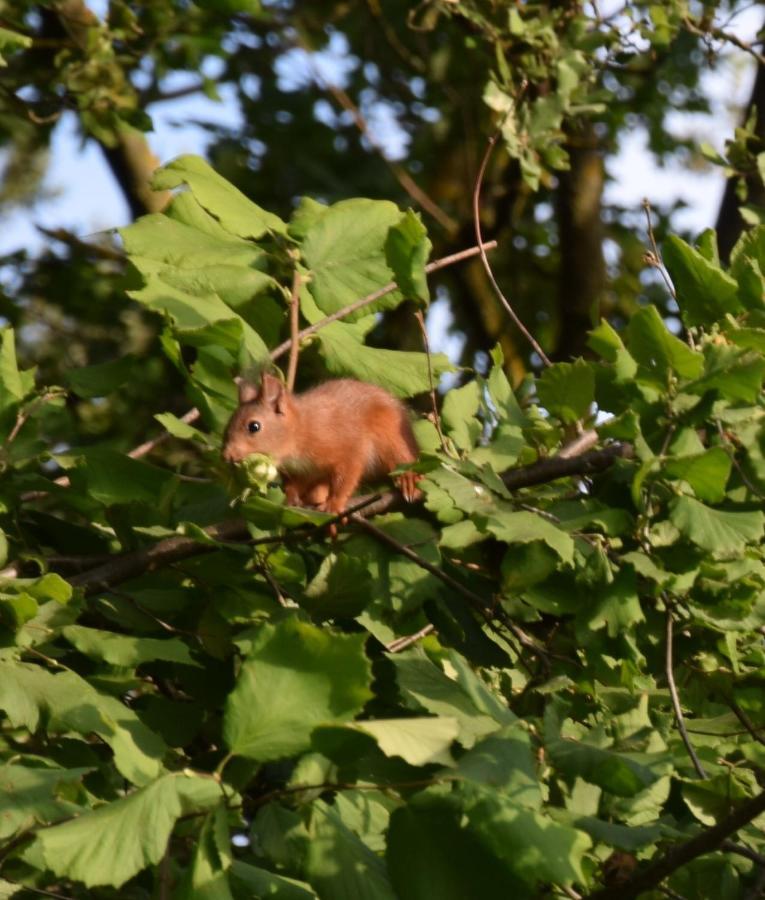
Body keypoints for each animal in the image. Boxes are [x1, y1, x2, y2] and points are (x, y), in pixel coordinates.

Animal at [224, 372, 420, 512]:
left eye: (254, 426)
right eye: (227, 424)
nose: (227, 456)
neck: (301, 430)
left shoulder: (347, 446)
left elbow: (346, 476)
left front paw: (334, 504)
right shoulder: (301, 471)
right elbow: (295, 484)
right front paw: (291, 497)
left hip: (392, 437)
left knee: (402, 458)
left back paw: (409, 478)